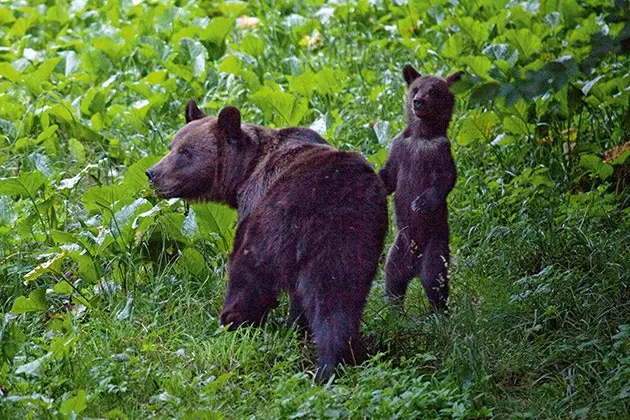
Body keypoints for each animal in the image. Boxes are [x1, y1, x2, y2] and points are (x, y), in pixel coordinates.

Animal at [147, 101, 390, 380]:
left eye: (185, 152)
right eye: (171, 145)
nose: (152, 173)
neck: (244, 173)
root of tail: (337, 199)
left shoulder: (254, 202)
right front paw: (297, 327)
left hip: (280, 221)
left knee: (251, 272)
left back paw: (233, 321)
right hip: (359, 236)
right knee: (341, 294)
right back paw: (341, 358)